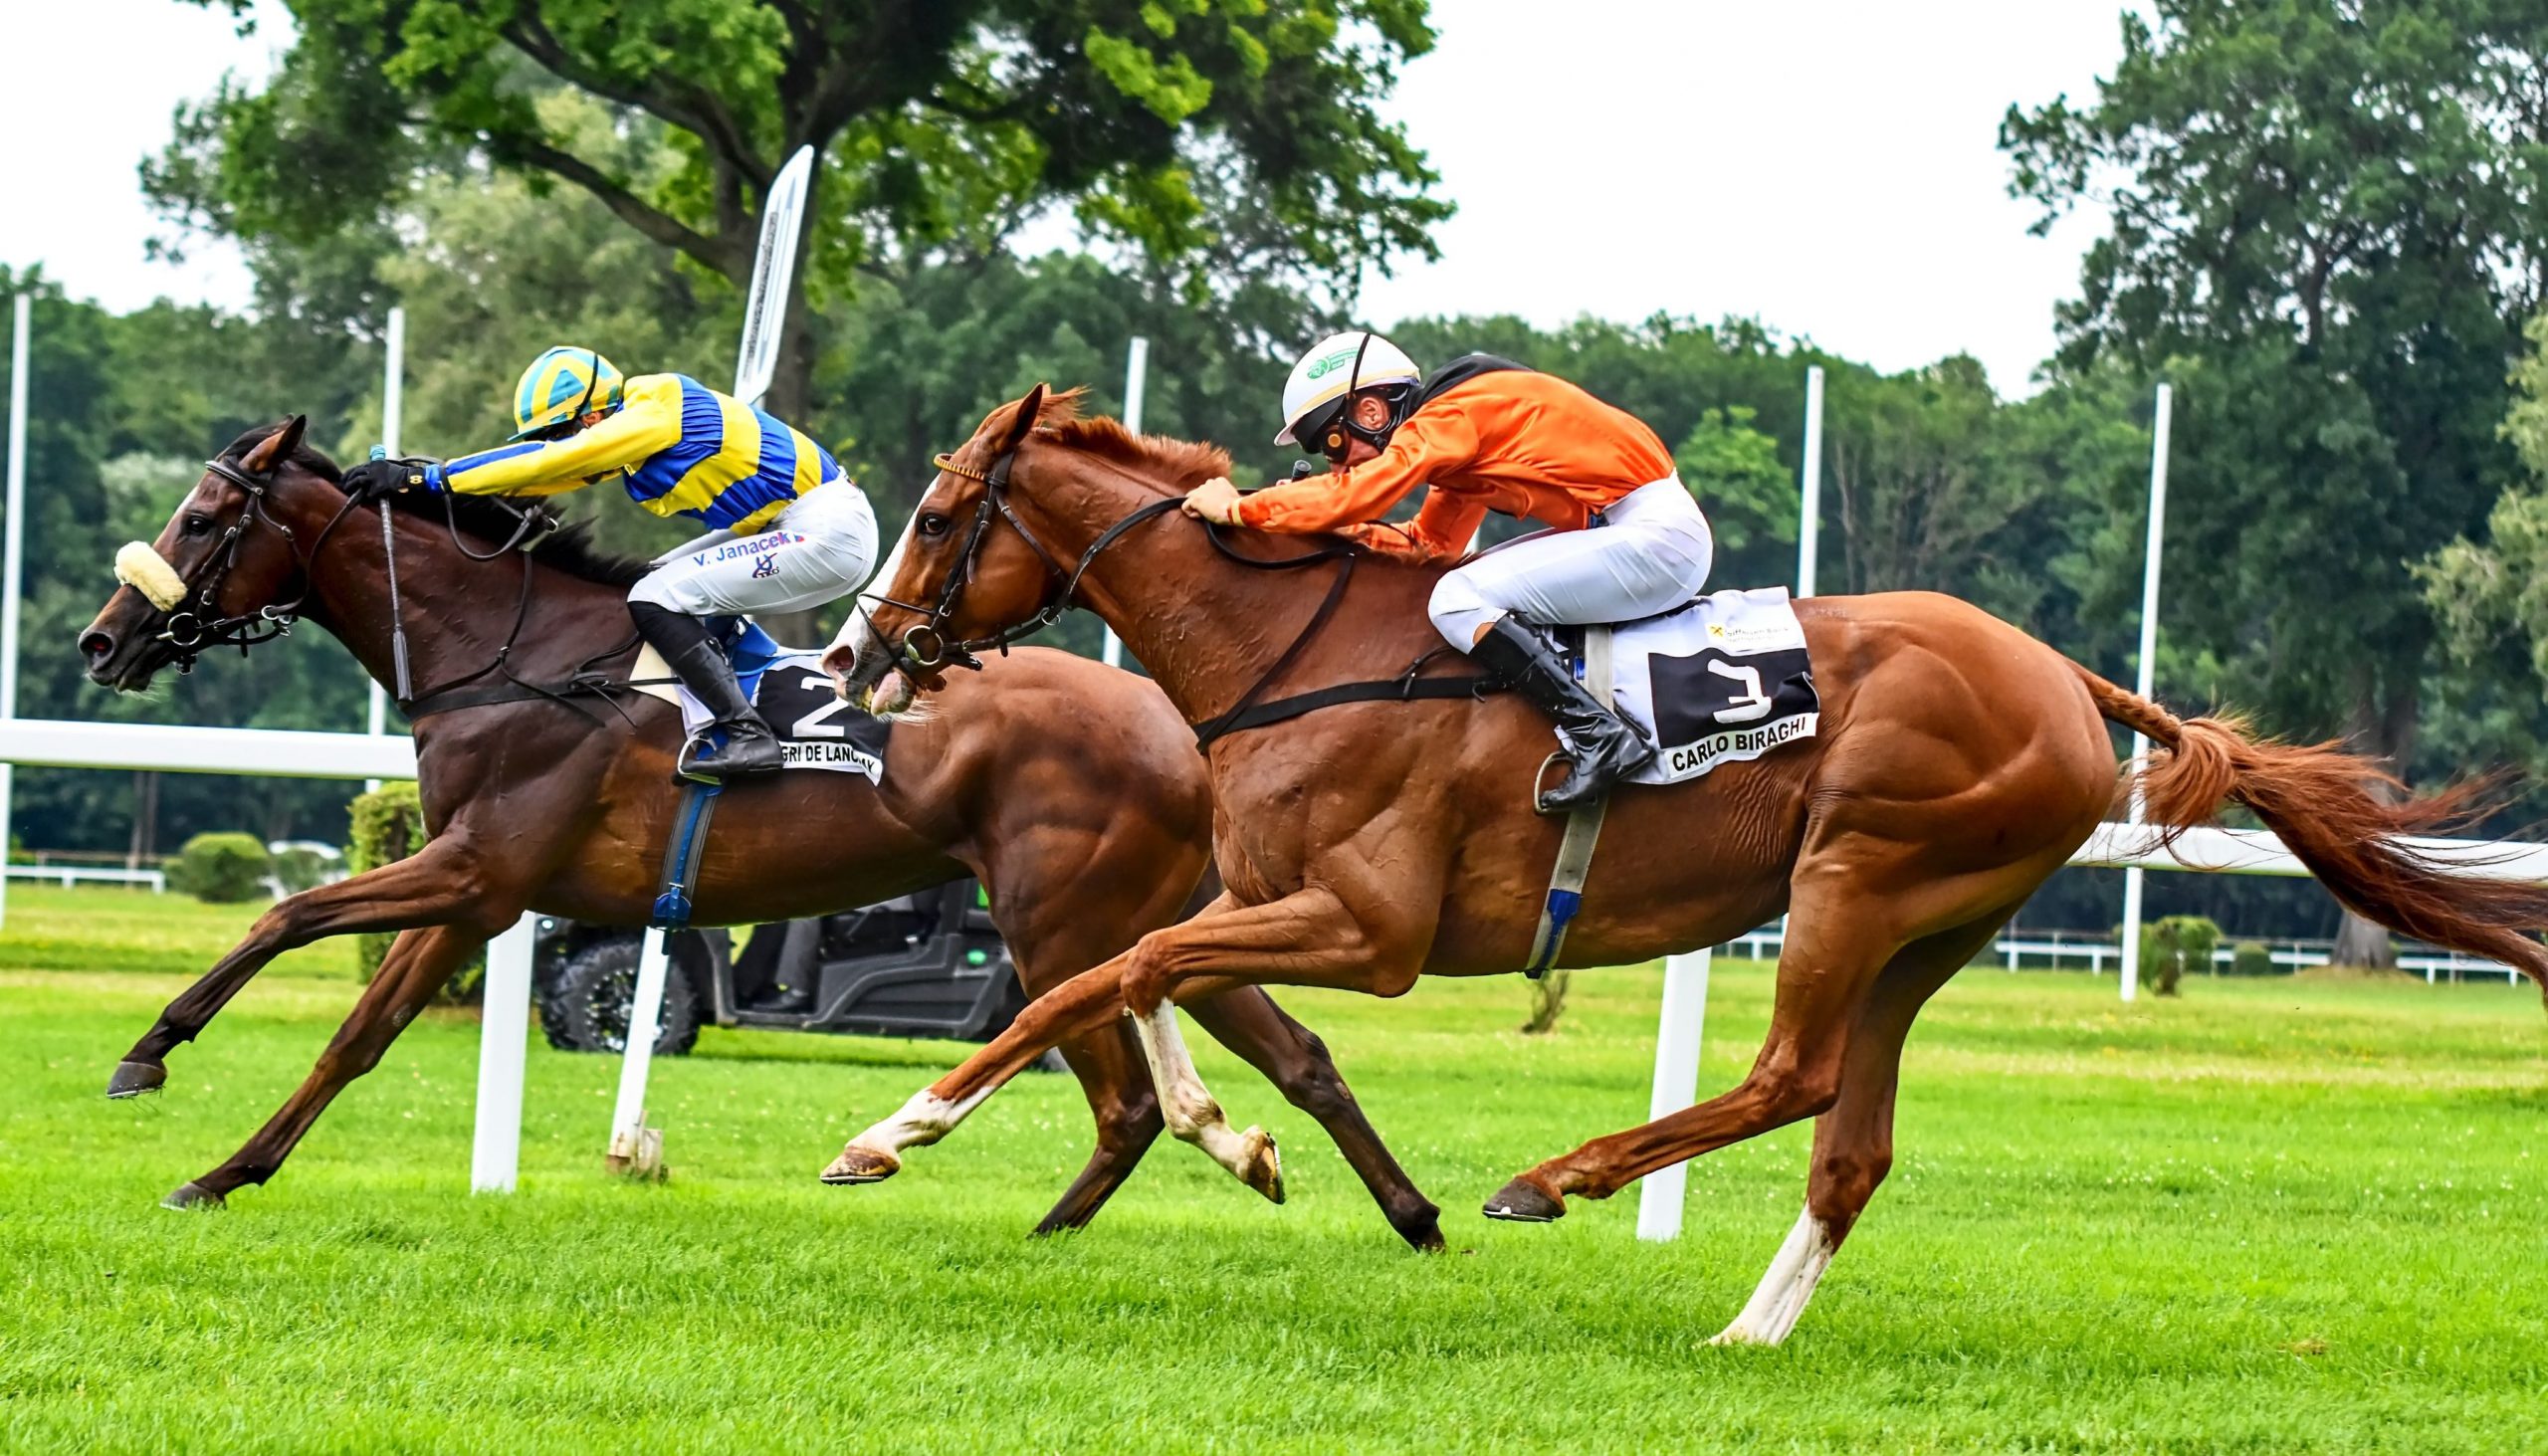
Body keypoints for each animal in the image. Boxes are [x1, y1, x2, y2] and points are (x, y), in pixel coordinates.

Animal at [80, 413, 1447, 1254]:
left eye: (203, 519)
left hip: (1055, 921)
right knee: (1289, 1052)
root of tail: (1176, 719)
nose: (102, 640)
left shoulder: (473, 867)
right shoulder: (478, 893)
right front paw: (226, 1171)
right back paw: (1395, 1206)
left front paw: (148, 1051)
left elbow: (287, 911)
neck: (512, 657)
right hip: (1145, 922)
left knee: (1119, 1098)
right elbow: (356, 1036)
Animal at [810, 387, 2548, 1346]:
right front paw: (1224, 1135)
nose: (860, 653)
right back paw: (1746, 1327)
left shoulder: (1365, 925)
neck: (1295, 650)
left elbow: (1109, 974)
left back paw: (1558, 1174)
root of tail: (2069, 675)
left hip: (1859, 871)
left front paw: (894, 1129)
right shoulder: (1255, 896)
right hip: (1928, 924)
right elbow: (1138, 973)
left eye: (943, 511)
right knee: (1850, 1139)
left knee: (1793, 1076)